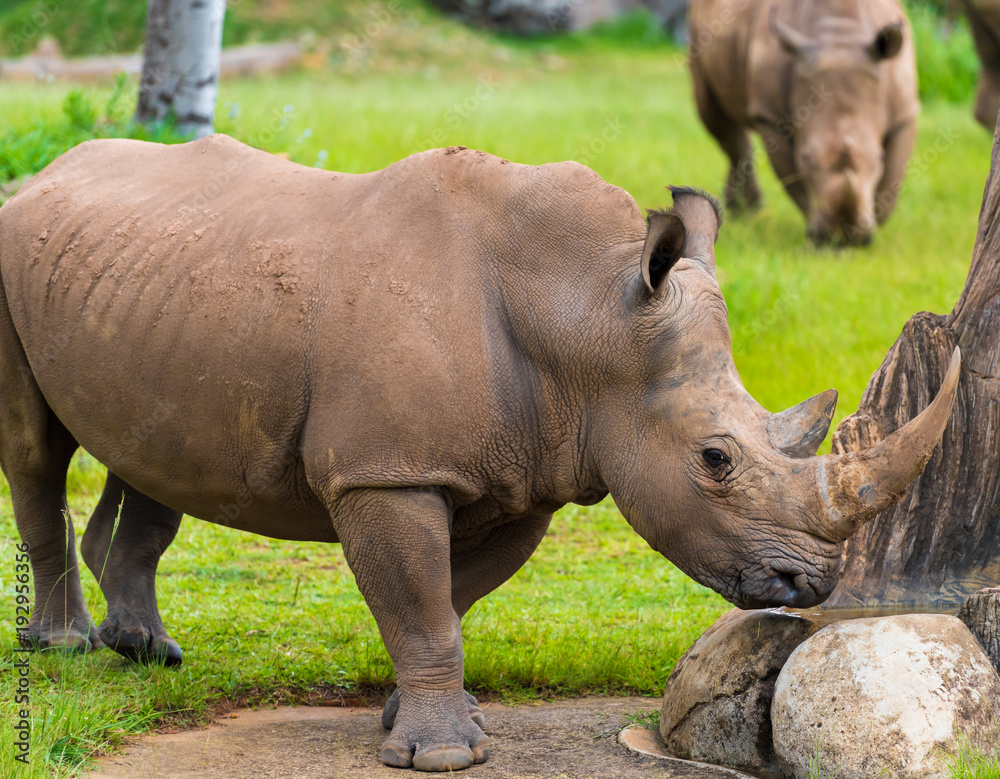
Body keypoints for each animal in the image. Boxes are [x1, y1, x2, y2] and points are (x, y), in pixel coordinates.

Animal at [1, 135, 958, 771]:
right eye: (716, 459)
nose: (812, 583)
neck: (588, 313)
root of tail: (41, 176)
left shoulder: (526, 472)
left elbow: (449, 599)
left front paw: (418, 714)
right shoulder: (387, 472)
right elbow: (422, 604)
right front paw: (440, 755)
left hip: (162, 286)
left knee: (155, 447)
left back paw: (145, 650)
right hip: (16, 252)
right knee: (35, 448)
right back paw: (66, 648)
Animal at [689, 0, 919, 245]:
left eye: (879, 158)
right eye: (805, 158)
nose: (843, 237)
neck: (840, 39)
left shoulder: (905, 112)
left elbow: (893, 176)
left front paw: (871, 223)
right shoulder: (770, 118)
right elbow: (795, 180)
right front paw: (820, 237)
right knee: (717, 118)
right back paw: (746, 216)